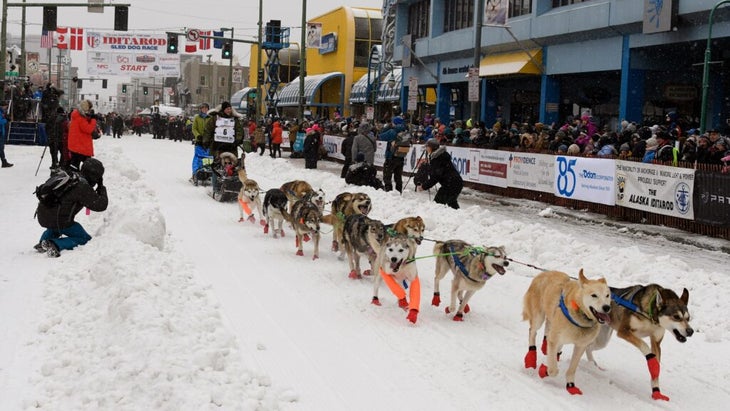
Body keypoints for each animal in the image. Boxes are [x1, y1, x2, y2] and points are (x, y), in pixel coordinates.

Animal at [520, 268, 612, 398]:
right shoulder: (555, 340)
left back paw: (545, 346)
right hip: (538, 318)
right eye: (594, 295)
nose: (606, 307)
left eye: (607, 295)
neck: (581, 315)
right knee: (532, 333)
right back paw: (531, 358)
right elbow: (553, 370)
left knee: (549, 331)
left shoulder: (580, 346)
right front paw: (544, 371)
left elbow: (571, 369)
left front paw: (570, 386)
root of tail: (544, 273)